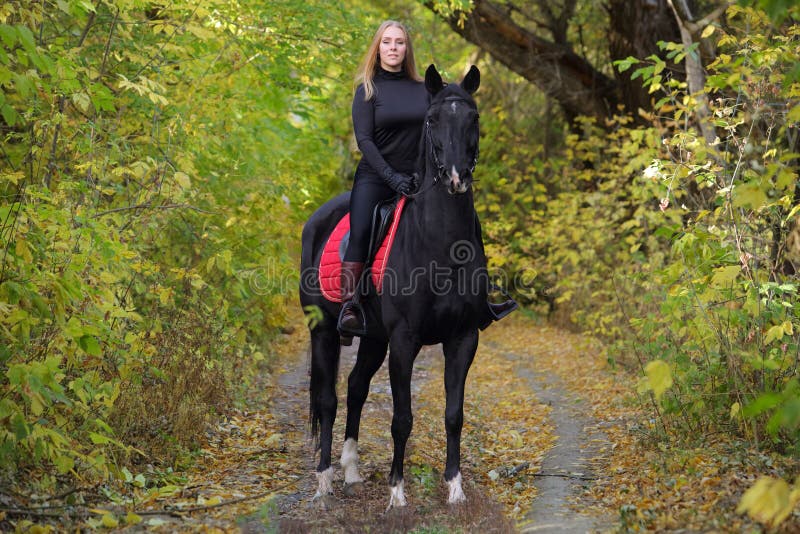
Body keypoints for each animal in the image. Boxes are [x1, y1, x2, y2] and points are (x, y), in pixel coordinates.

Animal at [300, 66, 488, 510]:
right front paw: (397, 492)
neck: (441, 244)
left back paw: (351, 471)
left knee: (355, 388)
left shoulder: (463, 337)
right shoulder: (405, 340)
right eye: (432, 120)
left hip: (373, 337)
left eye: (473, 118)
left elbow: (454, 415)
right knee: (329, 399)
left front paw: (455, 487)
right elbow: (402, 419)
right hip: (323, 331)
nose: (456, 178)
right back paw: (325, 480)